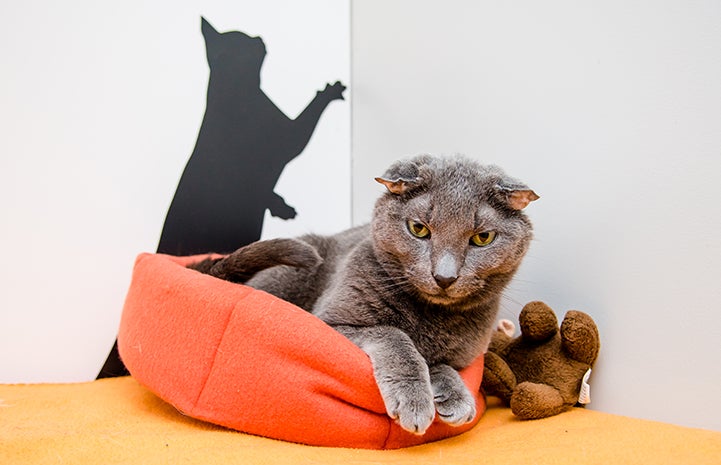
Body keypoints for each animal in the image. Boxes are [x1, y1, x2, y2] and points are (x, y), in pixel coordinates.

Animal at [188, 154, 536, 434]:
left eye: (482, 238)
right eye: (419, 229)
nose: (444, 276)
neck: (428, 317)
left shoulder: (462, 356)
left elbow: (442, 365)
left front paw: (455, 395)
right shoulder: (333, 322)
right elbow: (395, 336)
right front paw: (414, 400)